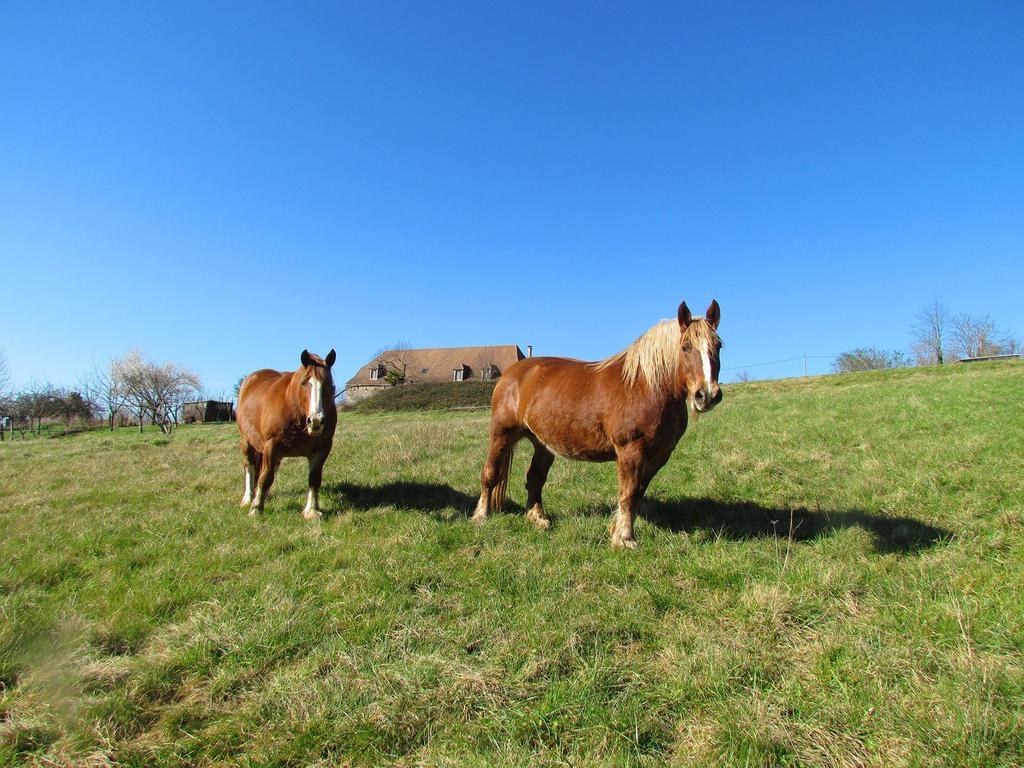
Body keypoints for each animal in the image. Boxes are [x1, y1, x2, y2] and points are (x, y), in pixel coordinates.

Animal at [235, 350, 335, 520]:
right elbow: (266, 477)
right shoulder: (271, 445)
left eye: (329, 384)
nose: (315, 420)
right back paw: (248, 498)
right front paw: (256, 508)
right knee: (250, 466)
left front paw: (311, 511)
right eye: (304, 382)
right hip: (247, 442)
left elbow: (314, 479)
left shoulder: (322, 449)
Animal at [471, 299, 720, 548]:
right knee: (490, 472)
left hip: (543, 443)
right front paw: (625, 539)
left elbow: (638, 493)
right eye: (685, 347)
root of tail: (511, 373)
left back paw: (538, 518)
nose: (707, 394)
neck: (646, 386)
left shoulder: (660, 455)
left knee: (535, 478)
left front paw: (618, 530)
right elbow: (628, 494)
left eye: (718, 345)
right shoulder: (631, 451)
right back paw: (481, 516)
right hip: (502, 434)